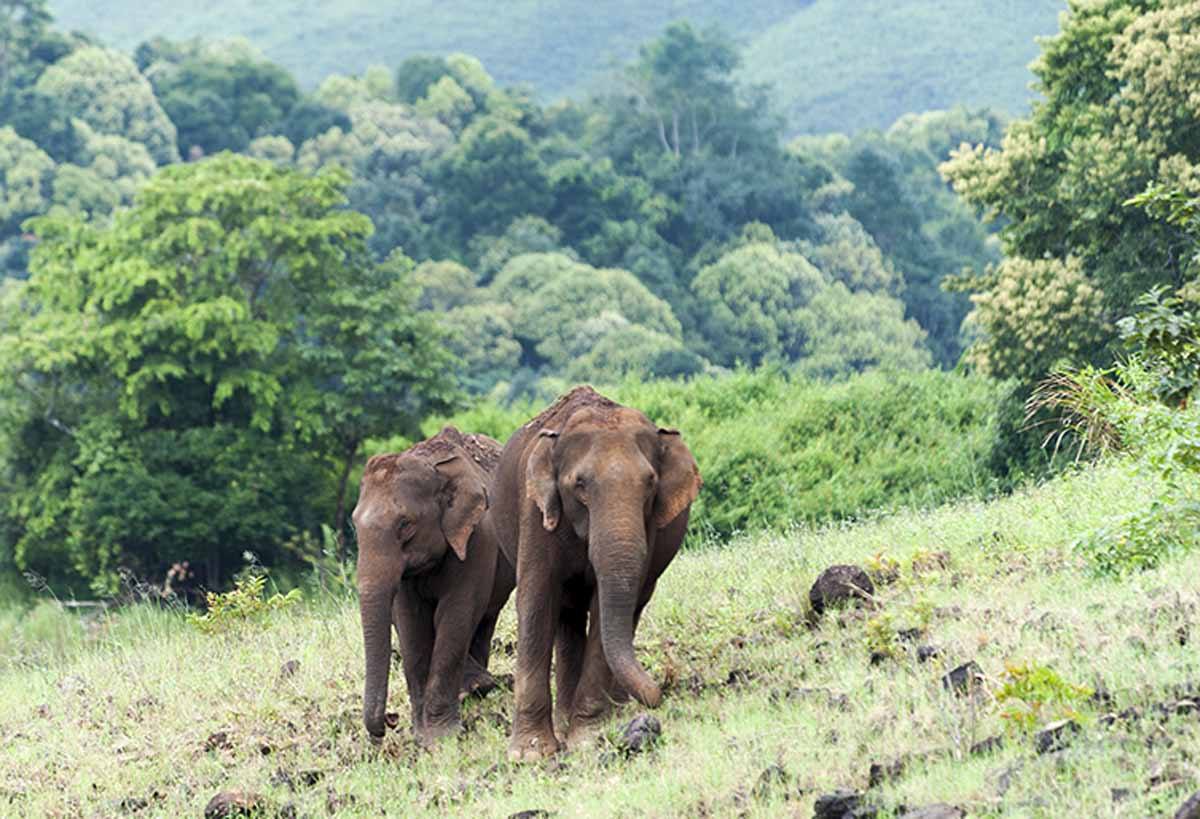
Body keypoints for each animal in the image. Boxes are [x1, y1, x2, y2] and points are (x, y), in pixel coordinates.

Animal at [350, 425, 513, 744]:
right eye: (354, 525)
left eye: (405, 525)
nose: (389, 722)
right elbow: (411, 623)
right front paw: (421, 734)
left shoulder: (477, 540)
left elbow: (456, 613)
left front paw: (440, 737)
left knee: (485, 618)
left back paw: (476, 688)